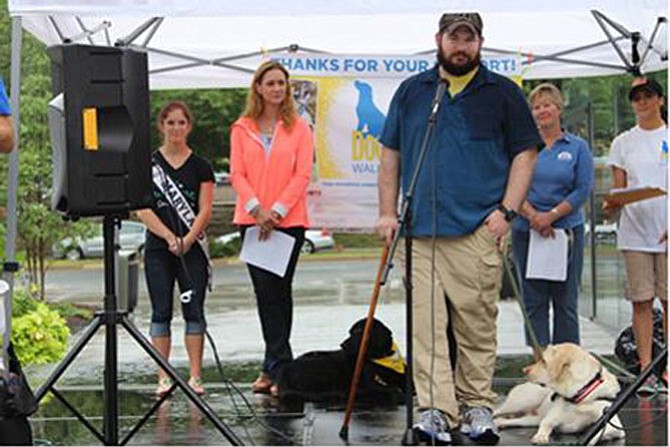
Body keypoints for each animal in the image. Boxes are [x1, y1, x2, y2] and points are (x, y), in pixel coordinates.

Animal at [494, 344, 624, 444]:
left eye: (544, 361)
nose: (524, 370)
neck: (580, 395)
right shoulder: (551, 418)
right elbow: (546, 424)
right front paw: (541, 436)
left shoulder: (615, 426)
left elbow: (598, 434)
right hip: (523, 402)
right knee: (497, 411)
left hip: (532, 418)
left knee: (515, 420)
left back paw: (501, 423)